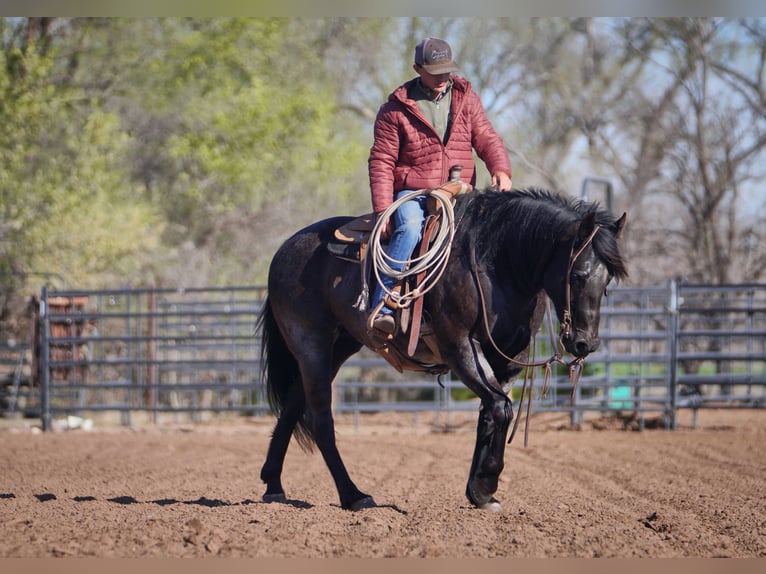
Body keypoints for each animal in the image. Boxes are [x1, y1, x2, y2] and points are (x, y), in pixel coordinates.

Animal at [258, 188, 632, 512]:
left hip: (338, 346)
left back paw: (274, 485)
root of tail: (284, 250)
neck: (497, 265)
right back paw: (354, 495)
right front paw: (487, 482)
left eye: (608, 280)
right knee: (321, 418)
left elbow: (492, 413)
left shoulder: (510, 359)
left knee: (293, 404)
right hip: (312, 344)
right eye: (579, 274)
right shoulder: (460, 348)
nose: (585, 343)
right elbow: (501, 408)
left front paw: (480, 492)